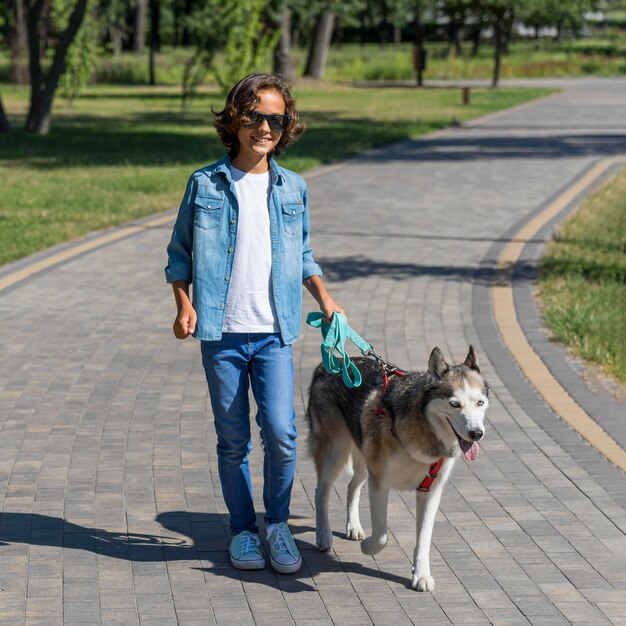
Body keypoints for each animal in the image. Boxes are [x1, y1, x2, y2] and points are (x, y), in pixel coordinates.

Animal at [308, 346, 488, 588]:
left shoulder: (430, 491)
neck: (425, 428)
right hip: (336, 452)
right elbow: (381, 535)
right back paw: (324, 536)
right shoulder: (379, 483)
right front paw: (367, 548)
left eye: (480, 402)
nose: (476, 433)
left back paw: (353, 527)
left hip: (363, 457)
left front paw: (421, 575)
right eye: (454, 404)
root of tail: (329, 363)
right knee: (321, 492)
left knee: (351, 486)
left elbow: (424, 539)